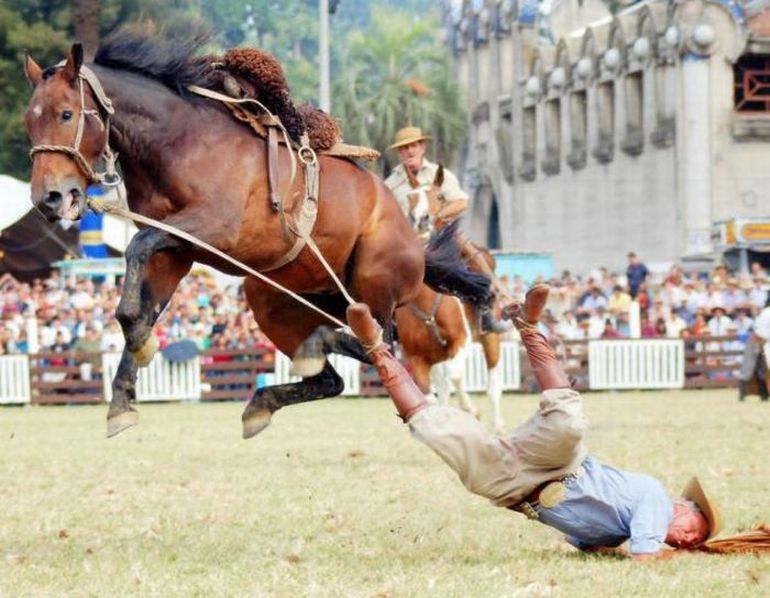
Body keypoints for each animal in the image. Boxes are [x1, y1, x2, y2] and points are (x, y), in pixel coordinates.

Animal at [25, 30, 492, 438]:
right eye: (29, 123)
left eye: (66, 114)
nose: (49, 197)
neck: (180, 143)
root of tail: (415, 244)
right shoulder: (175, 250)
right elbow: (138, 303)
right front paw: (126, 390)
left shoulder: (212, 229)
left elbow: (136, 250)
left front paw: (138, 350)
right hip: (276, 299)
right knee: (333, 377)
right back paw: (267, 397)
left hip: (374, 287)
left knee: (380, 345)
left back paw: (320, 345)